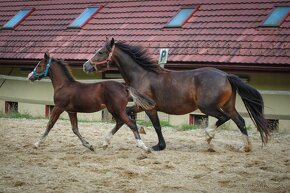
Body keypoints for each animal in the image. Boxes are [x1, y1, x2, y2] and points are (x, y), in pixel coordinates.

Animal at [82, 38, 270, 152]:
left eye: (100, 52)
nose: (86, 66)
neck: (142, 75)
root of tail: (226, 76)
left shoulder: (148, 107)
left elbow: (155, 125)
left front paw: (159, 145)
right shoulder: (139, 106)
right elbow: (125, 117)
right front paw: (107, 141)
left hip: (208, 107)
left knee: (224, 118)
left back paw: (209, 136)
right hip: (228, 106)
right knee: (240, 121)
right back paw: (245, 147)